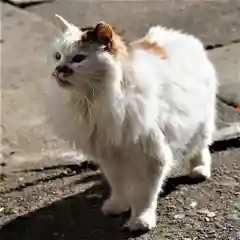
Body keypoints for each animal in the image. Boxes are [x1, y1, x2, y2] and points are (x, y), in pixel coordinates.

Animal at [44, 14, 218, 231]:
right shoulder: (110, 155)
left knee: (201, 148)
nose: (58, 70)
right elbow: (118, 186)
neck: (94, 100)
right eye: (57, 56)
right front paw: (118, 206)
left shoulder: (152, 157)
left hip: (200, 123)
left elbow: (144, 195)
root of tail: (180, 35)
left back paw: (199, 170)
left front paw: (141, 220)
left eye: (78, 59)